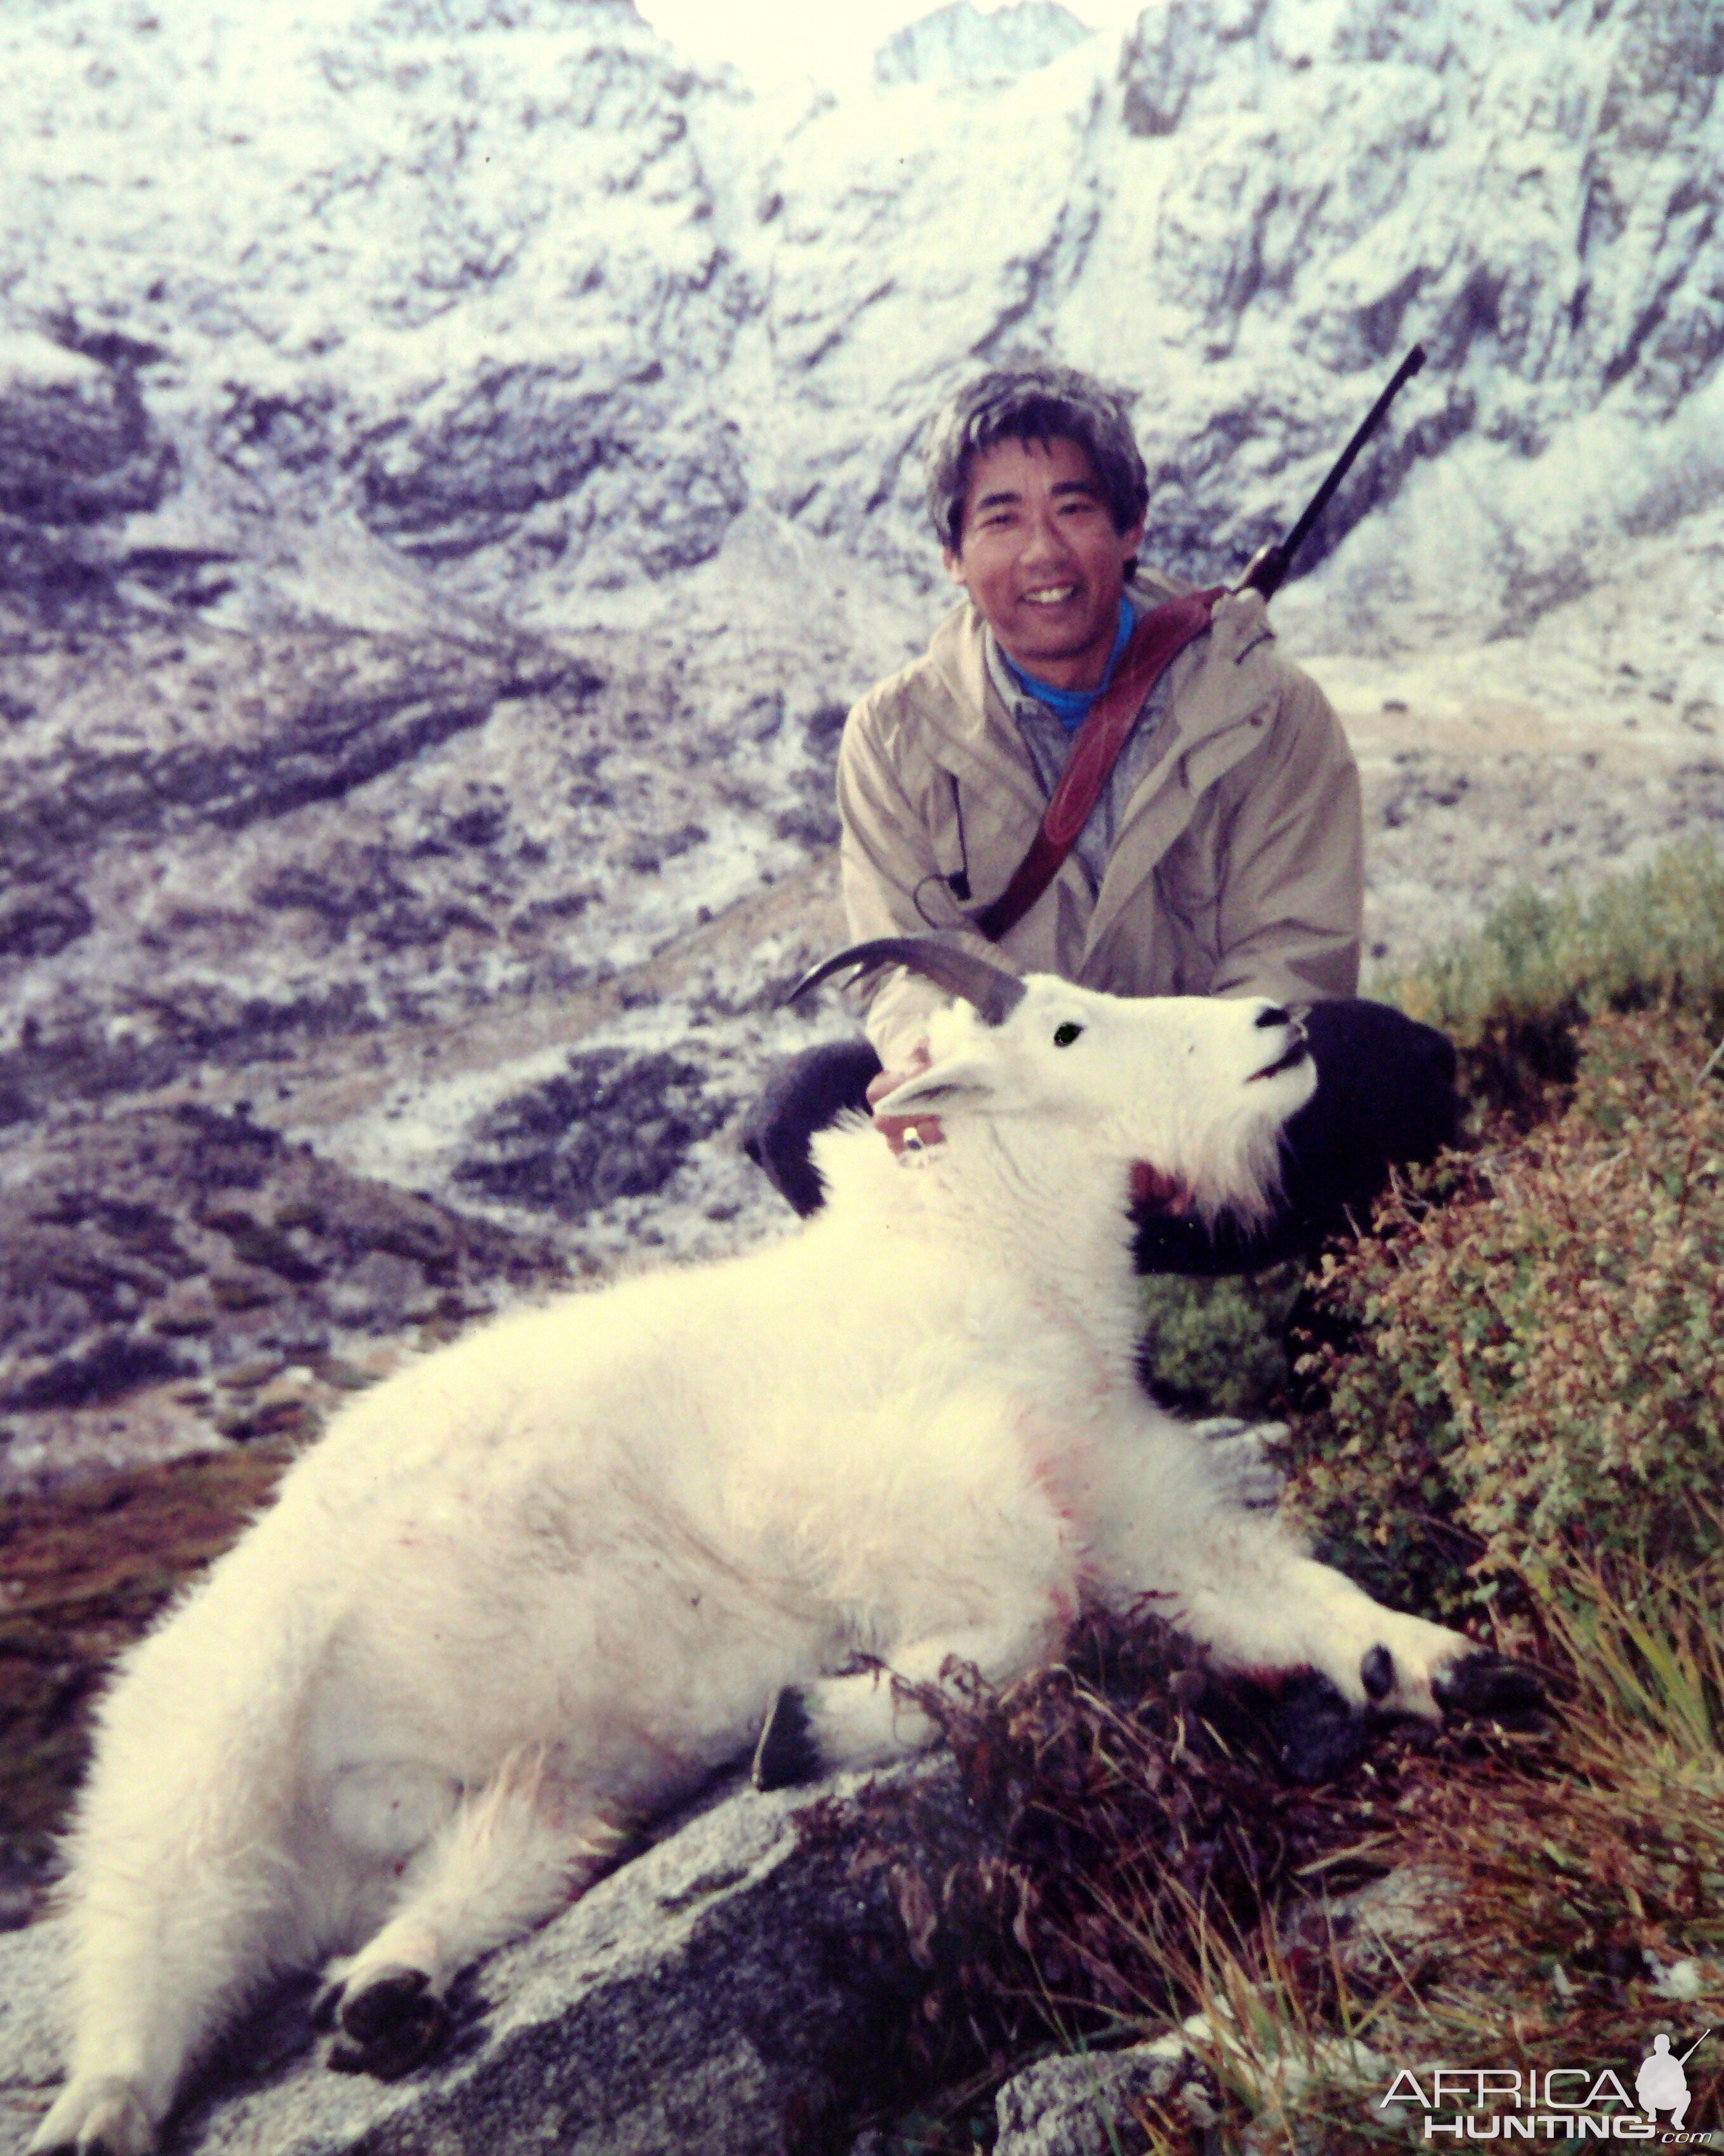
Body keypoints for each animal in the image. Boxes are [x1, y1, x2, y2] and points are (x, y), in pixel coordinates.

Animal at [34, 944, 1527, 2156]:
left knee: (483, 1859)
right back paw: (97, 2111)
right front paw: (805, 1723)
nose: (1279, 1020)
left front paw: (1448, 1664)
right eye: (1065, 1028)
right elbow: (1029, 1611)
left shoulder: (1123, 1502)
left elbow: (1280, 1591)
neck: (981, 1258)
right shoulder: (865, 1493)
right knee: (144, 1956)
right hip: (211, 1747)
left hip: (542, 1791)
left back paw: (384, 1998)